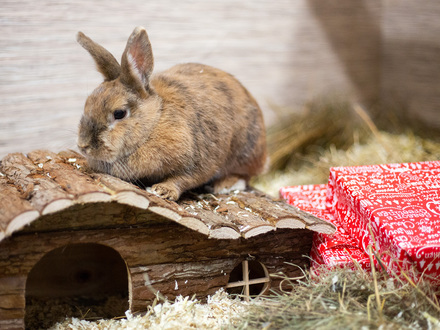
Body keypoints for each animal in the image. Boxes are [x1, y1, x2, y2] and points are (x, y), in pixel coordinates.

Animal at [77, 26, 266, 201]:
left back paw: (224, 185)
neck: (154, 122)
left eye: (119, 113)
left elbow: (184, 178)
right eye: (87, 103)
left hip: (245, 150)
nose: (83, 146)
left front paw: (162, 190)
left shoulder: (199, 160)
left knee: (245, 175)